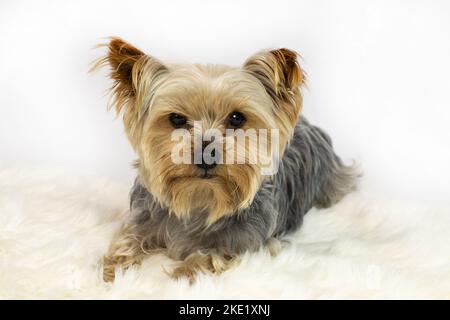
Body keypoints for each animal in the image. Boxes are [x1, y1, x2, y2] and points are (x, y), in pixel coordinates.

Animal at [93, 38, 356, 282]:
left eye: (237, 118)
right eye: (176, 119)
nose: (206, 156)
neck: (201, 199)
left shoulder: (248, 243)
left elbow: (211, 255)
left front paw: (183, 273)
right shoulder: (143, 220)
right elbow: (128, 239)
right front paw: (113, 270)